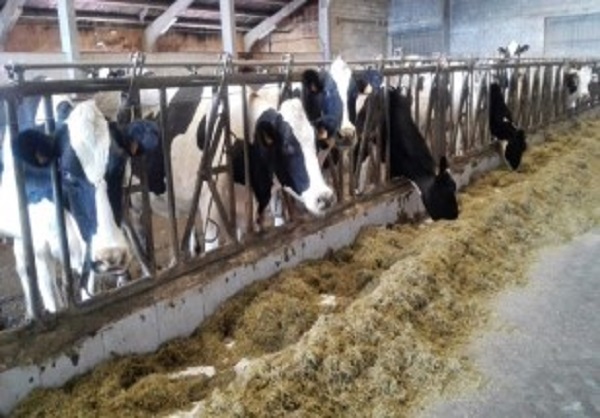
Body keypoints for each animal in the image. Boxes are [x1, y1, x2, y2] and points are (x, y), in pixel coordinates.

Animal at [0, 97, 159, 320]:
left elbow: (86, 296)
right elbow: (52, 300)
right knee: (25, 268)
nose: (112, 256)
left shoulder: (88, 247)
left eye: (120, 167)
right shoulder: (41, 247)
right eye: (66, 173)